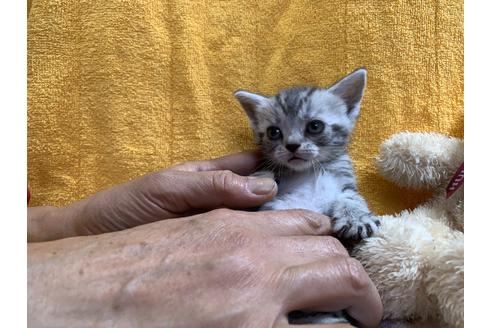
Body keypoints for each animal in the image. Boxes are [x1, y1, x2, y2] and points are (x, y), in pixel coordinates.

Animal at [234, 68, 380, 240]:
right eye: (273, 132)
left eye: (315, 126)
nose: (292, 145)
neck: (308, 171)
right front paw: (261, 177)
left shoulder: (344, 175)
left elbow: (351, 197)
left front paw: (356, 218)